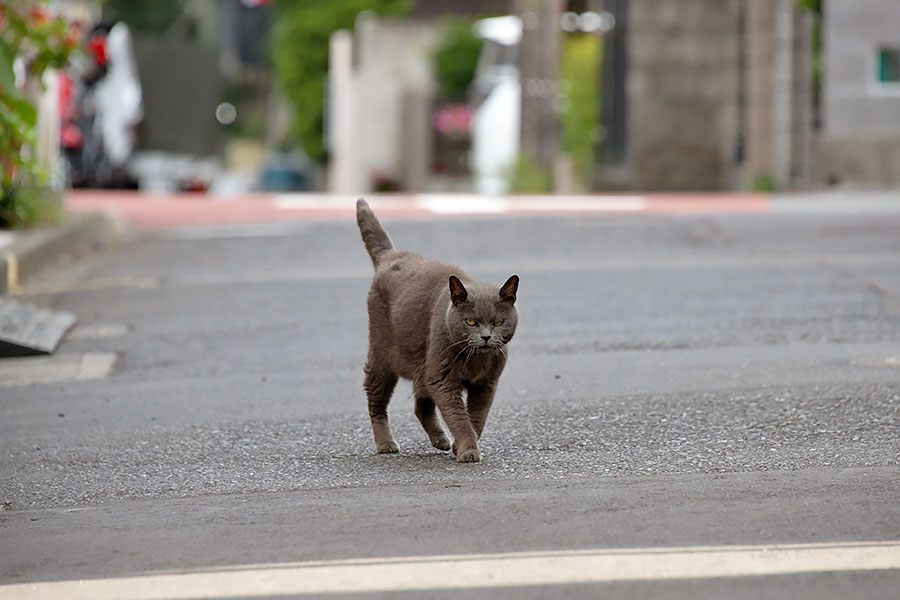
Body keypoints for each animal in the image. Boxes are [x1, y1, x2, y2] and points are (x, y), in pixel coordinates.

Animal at [356, 199, 516, 462]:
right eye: (470, 322)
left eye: (497, 323)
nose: (485, 337)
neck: (475, 360)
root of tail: (392, 255)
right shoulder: (442, 378)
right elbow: (459, 417)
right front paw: (468, 450)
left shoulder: (486, 383)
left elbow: (476, 418)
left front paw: (460, 446)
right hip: (381, 356)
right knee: (376, 401)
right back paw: (386, 443)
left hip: (423, 366)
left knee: (420, 405)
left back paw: (441, 440)